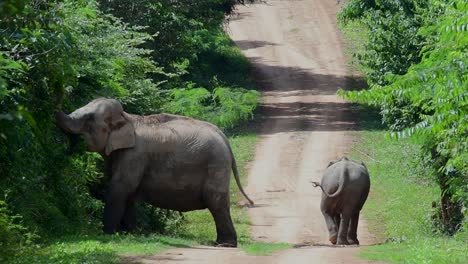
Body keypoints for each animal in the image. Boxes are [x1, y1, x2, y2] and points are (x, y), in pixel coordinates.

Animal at [56, 98, 254, 246]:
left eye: (88, 119)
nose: (55, 108)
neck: (127, 118)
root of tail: (224, 138)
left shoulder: (135, 155)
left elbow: (120, 187)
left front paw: (107, 234)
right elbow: (128, 194)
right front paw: (130, 234)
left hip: (216, 164)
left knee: (216, 201)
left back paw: (225, 244)